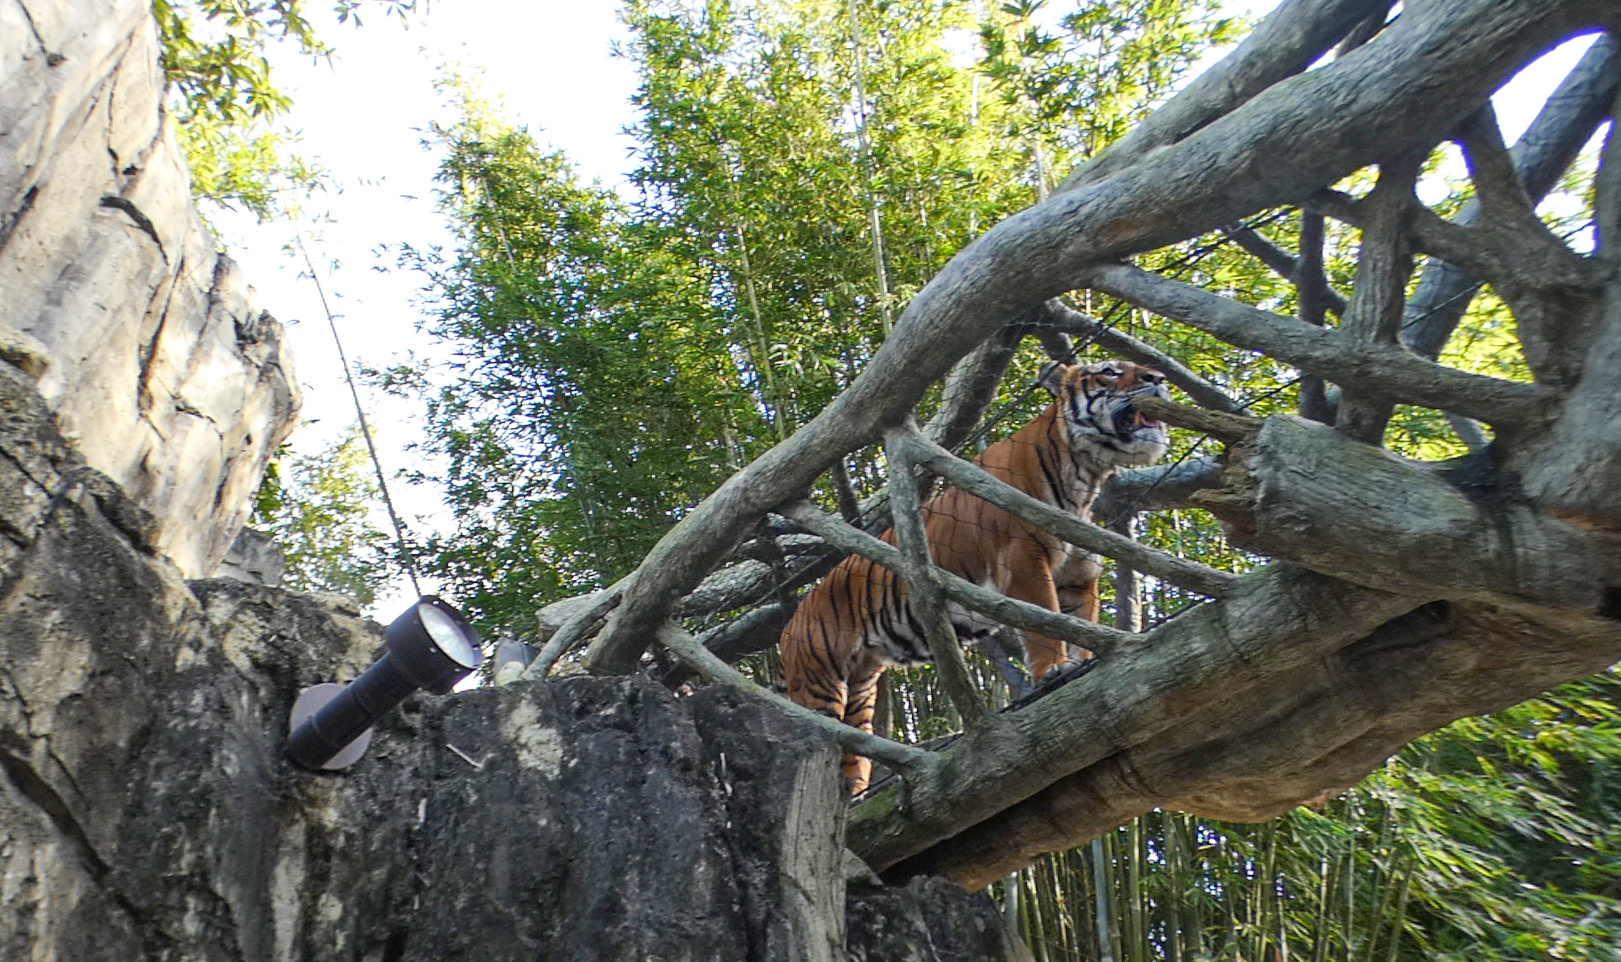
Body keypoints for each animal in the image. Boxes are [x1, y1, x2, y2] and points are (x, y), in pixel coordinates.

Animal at [780, 359, 1172, 793]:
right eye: (1108, 371)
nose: (1158, 379)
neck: (1085, 474)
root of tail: (790, 622)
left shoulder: (1077, 577)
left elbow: (1074, 625)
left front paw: (1080, 665)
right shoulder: (1023, 560)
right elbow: (1042, 622)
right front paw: (1054, 671)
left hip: (861, 687)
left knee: (854, 748)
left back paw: (854, 792)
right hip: (820, 683)